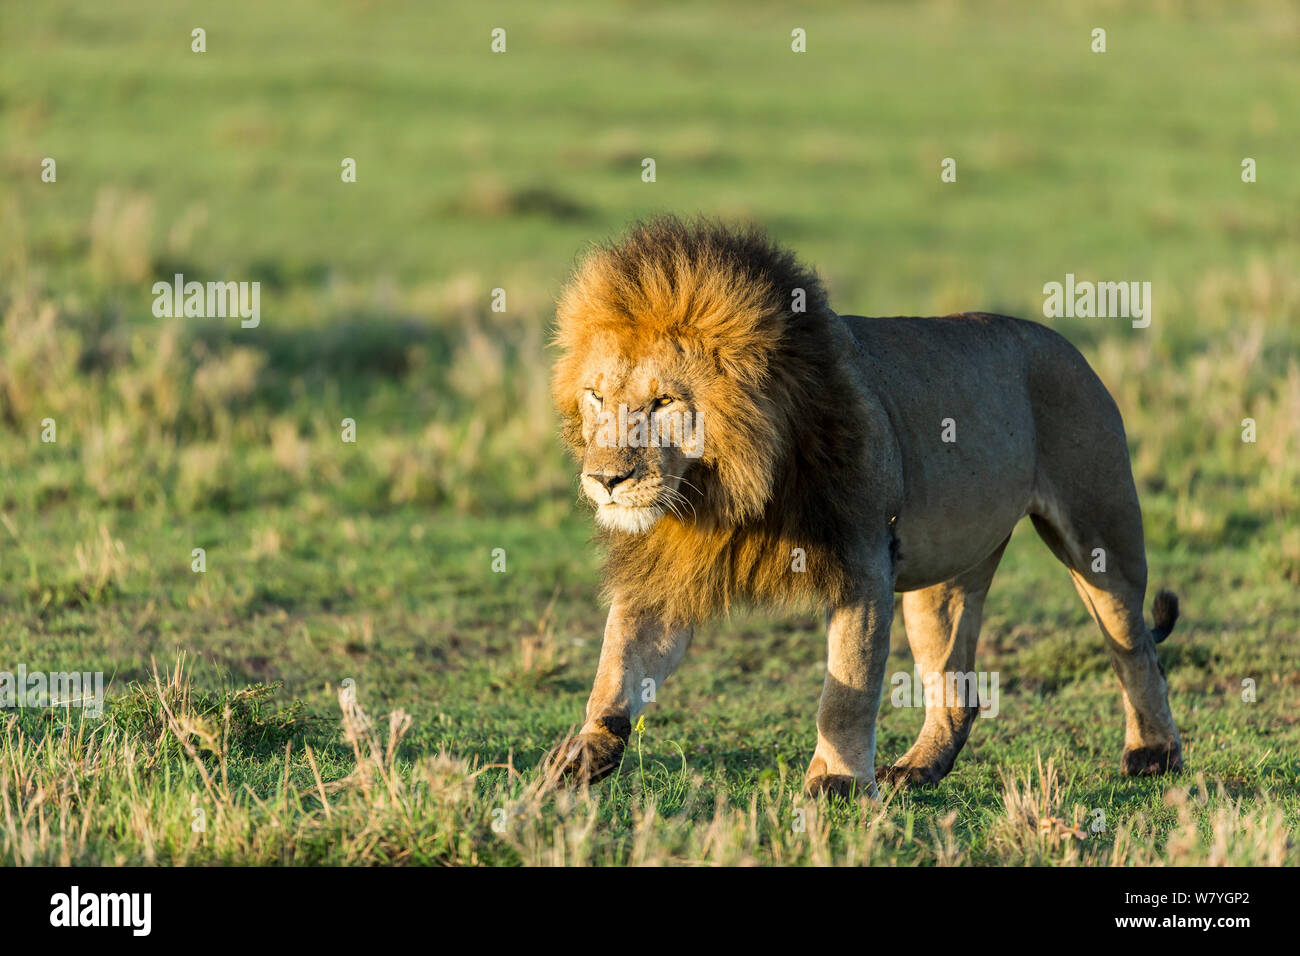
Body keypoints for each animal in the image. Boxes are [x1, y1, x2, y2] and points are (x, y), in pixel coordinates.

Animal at [545, 215, 1182, 797]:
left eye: (663, 402)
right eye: (596, 396)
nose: (604, 480)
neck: (722, 492)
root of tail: (1066, 344)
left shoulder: (863, 560)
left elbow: (846, 688)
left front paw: (838, 781)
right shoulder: (664, 566)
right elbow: (619, 661)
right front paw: (584, 749)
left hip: (1101, 531)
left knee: (1136, 649)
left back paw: (1153, 754)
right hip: (946, 575)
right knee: (959, 690)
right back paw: (918, 770)